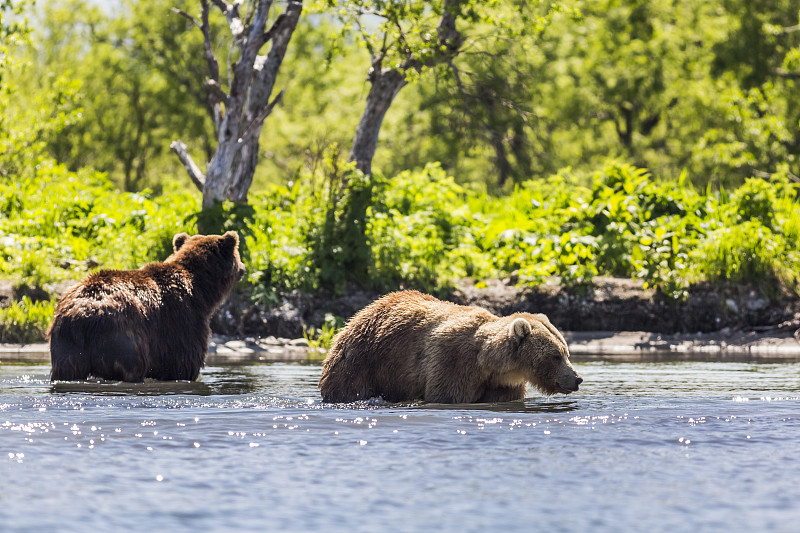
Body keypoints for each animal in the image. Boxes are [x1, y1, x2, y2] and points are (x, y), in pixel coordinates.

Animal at [48, 231, 245, 380]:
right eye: (238, 254)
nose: (243, 268)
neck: (203, 291)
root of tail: (83, 314)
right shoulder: (183, 323)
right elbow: (184, 363)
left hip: (66, 344)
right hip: (122, 336)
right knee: (132, 367)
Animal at [318, 290, 580, 404]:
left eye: (566, 352)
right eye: (555, 356)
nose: (577, 378)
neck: (489, 362)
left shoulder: (502, 383)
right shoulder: (453, 362)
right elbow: (447, 395)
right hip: (363, 359)